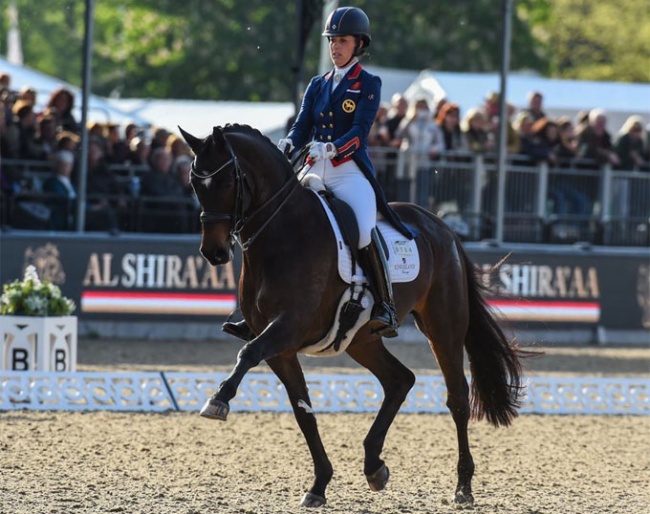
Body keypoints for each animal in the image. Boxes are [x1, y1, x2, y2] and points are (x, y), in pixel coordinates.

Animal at [180, 123, 524, 504]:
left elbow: (248, 352)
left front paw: (218, 400)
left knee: (458, 398)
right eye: (195, 183)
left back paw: (463, 486)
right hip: (361, 339)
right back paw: (374, 466)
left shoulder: (287, 327)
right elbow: (303, 412)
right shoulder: (281, 349)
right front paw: (318, 485)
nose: (213, 253)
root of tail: (442, 228)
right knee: (400, 380)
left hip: (443, 326)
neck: (282, 234)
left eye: (227, 182)